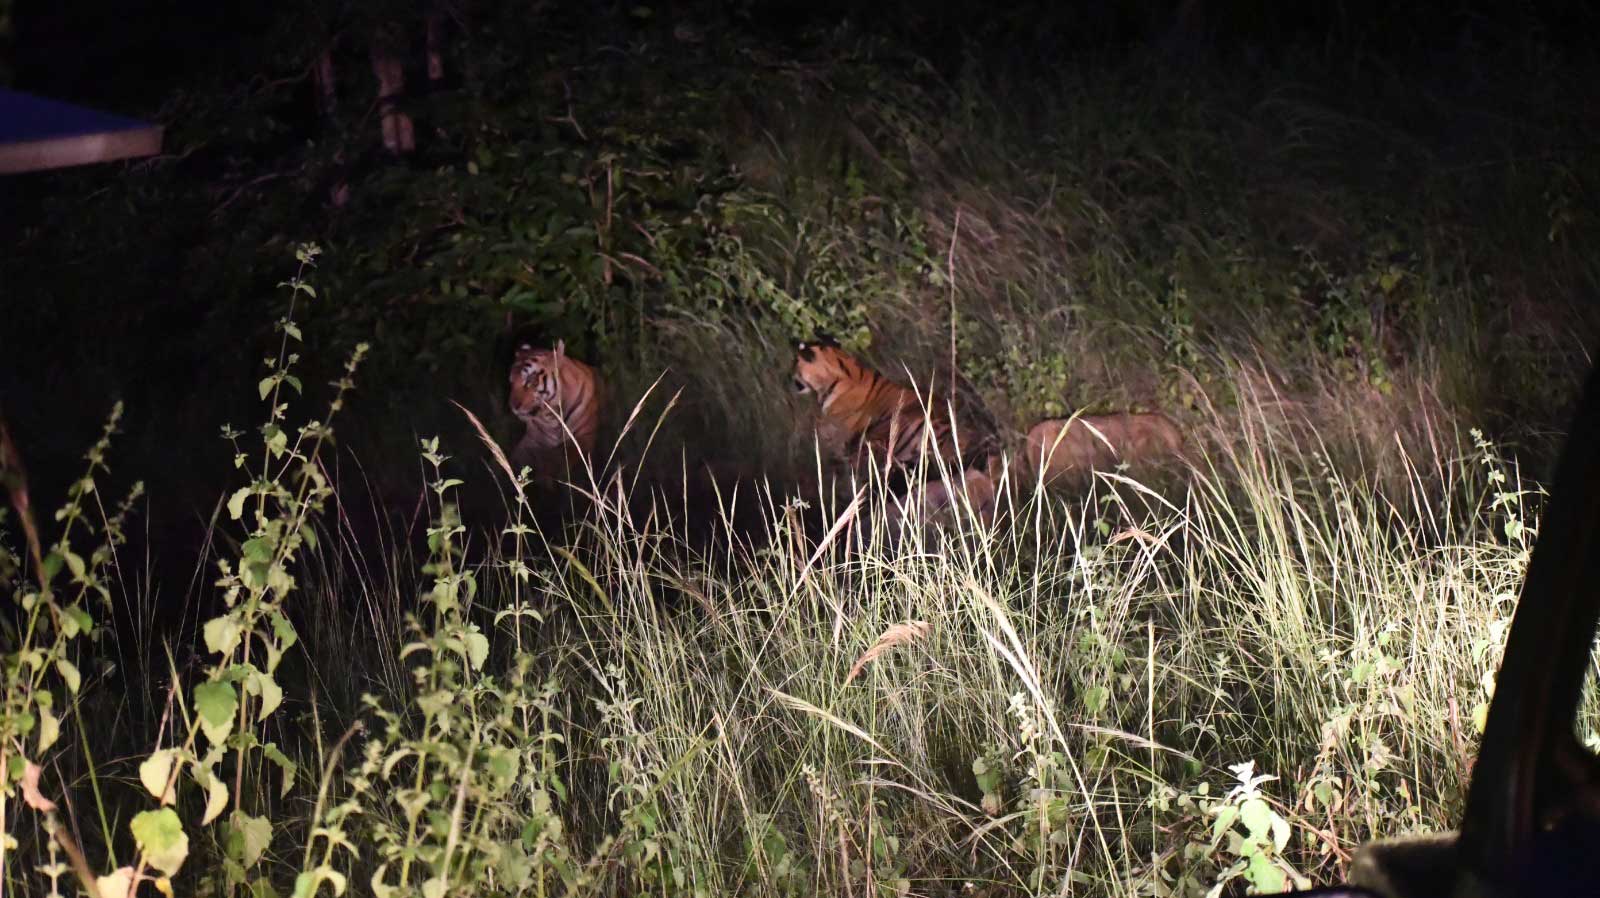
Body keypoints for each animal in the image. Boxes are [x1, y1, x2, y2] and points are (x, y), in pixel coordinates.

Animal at [508, 339, 603, 481]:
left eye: (531, 380)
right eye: (511, 382)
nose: (513, 406)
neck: (550, 418)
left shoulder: (584, 438)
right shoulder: (532, 441)